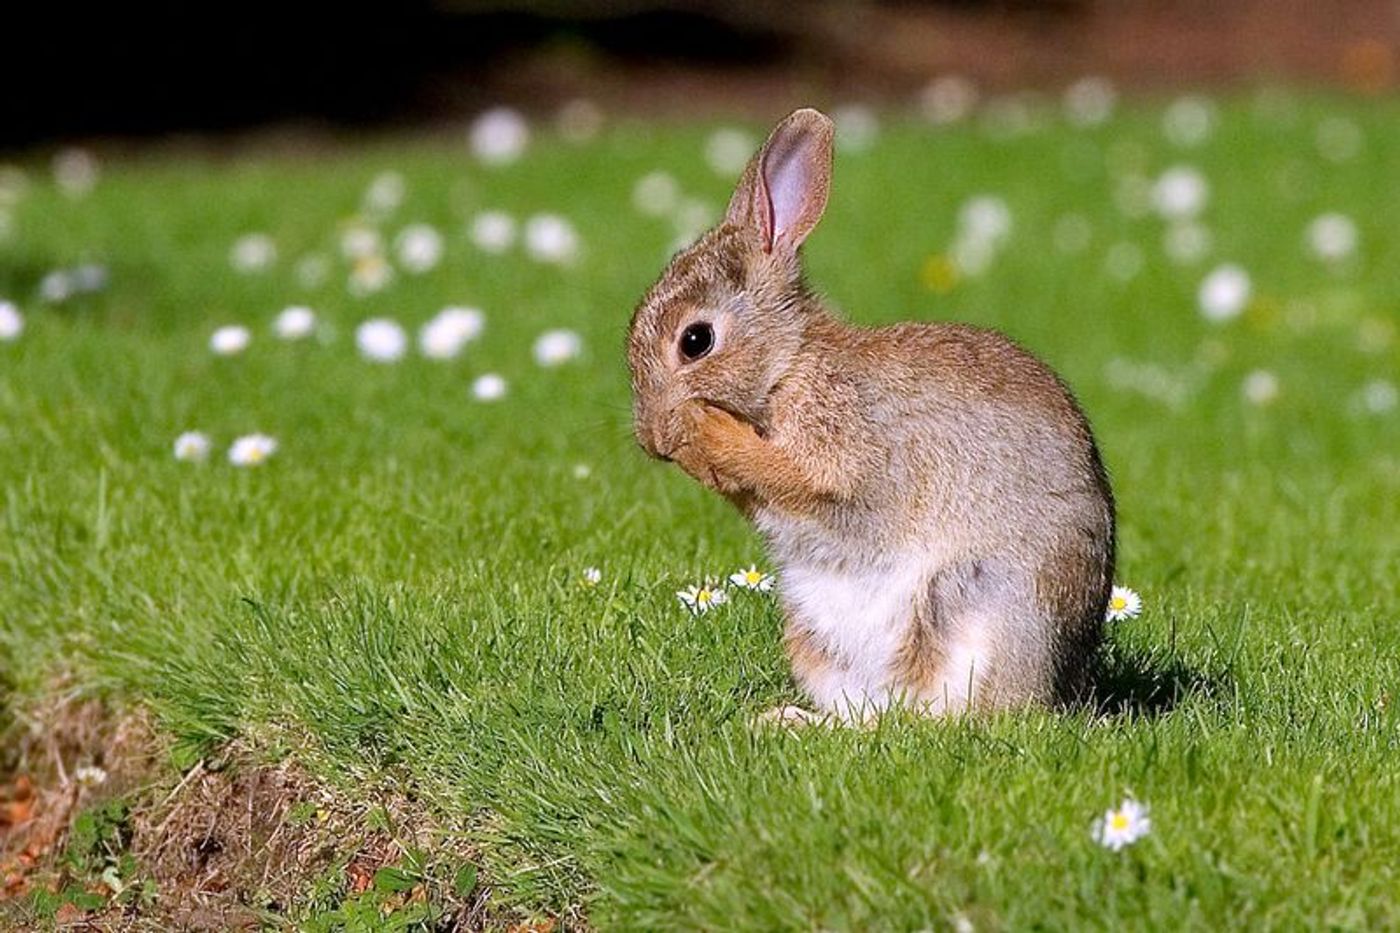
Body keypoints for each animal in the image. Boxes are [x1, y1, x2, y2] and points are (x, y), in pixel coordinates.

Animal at [630, 107, 1108, 717]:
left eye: (696, 340)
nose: (652, 438)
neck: (789, 364)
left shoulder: (842, 453)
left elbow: (791, 476)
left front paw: (700, 427)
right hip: (814, 639)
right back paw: (784, 721)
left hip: (976, 608)